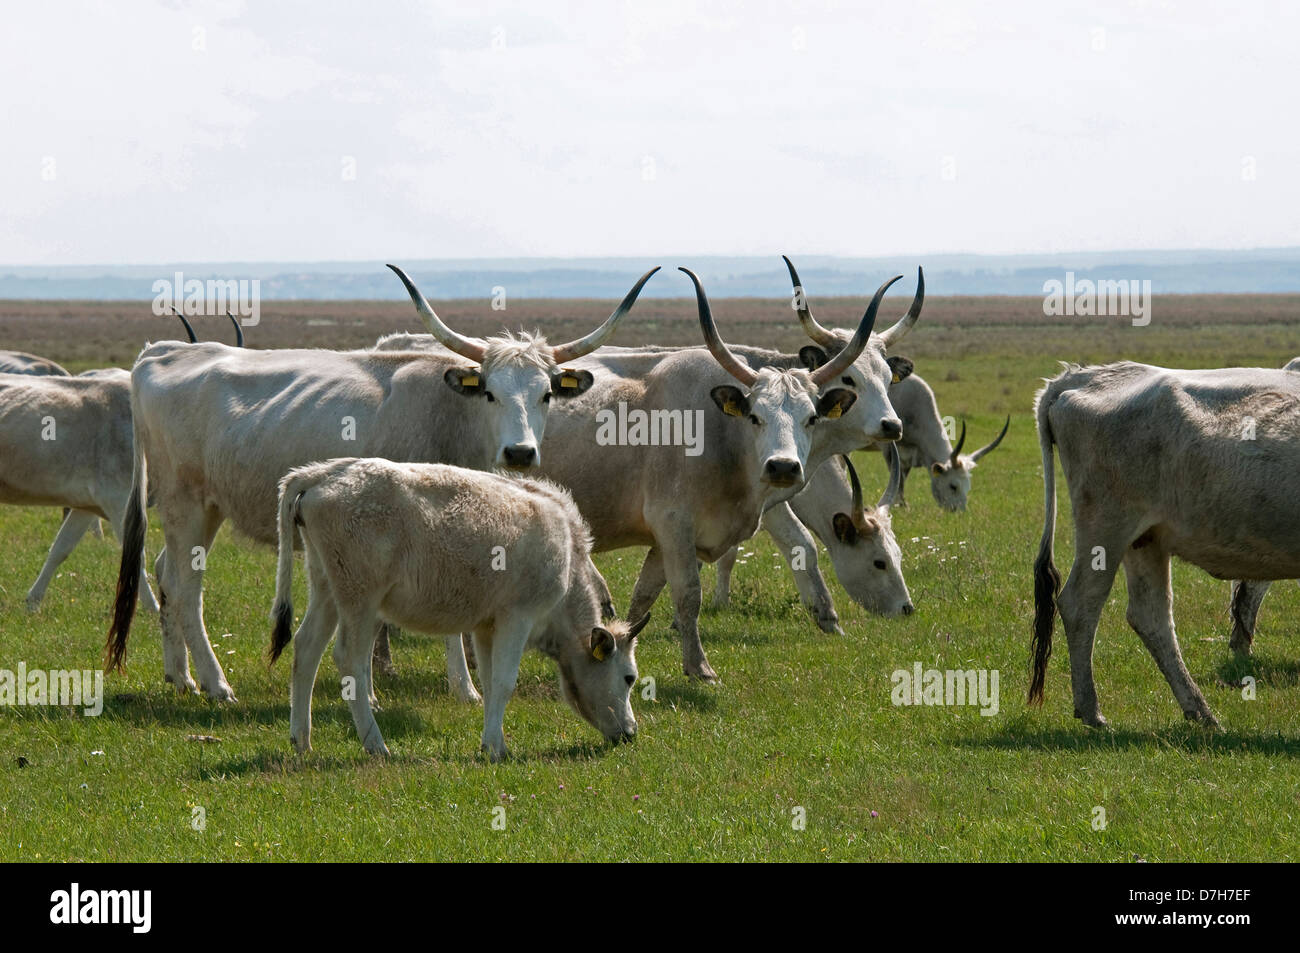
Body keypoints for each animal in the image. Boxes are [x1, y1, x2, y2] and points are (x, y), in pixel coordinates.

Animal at [104, 265, 660, 696]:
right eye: (490, 393)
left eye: (545, 394)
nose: (520, 452)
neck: (450, 414)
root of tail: (160, 353)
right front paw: (464, 688)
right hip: (185, 503)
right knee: (185, 586)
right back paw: (216, 684)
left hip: (207, 508)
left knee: (168, 574)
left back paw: (181, 676)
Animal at [270, 457, 650, 764]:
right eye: (629, 677)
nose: (631, 733)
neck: (567, 558)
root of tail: (320, 474)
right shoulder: (518, 616)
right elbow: (504, 681)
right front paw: (496, 748)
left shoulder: (486, 625)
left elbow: (489, 679)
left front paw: (493, 741)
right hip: (360, 599)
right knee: (349, 660)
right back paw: (376, 745)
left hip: (326, 589)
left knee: (306, 648)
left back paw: (301, 740)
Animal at [712, 444, 915, 629]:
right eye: (879, 563)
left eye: (899, 556)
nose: (907, 609)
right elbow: (802, 542)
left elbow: (728, 554)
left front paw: (720, 602)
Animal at [1034, 361, 1300, 722]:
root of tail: (1084, 375)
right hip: (1106, 528)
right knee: (1080, 603)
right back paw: (1091, 710)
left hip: (1145, 539)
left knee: (1151, 615)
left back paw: (1200, 711)